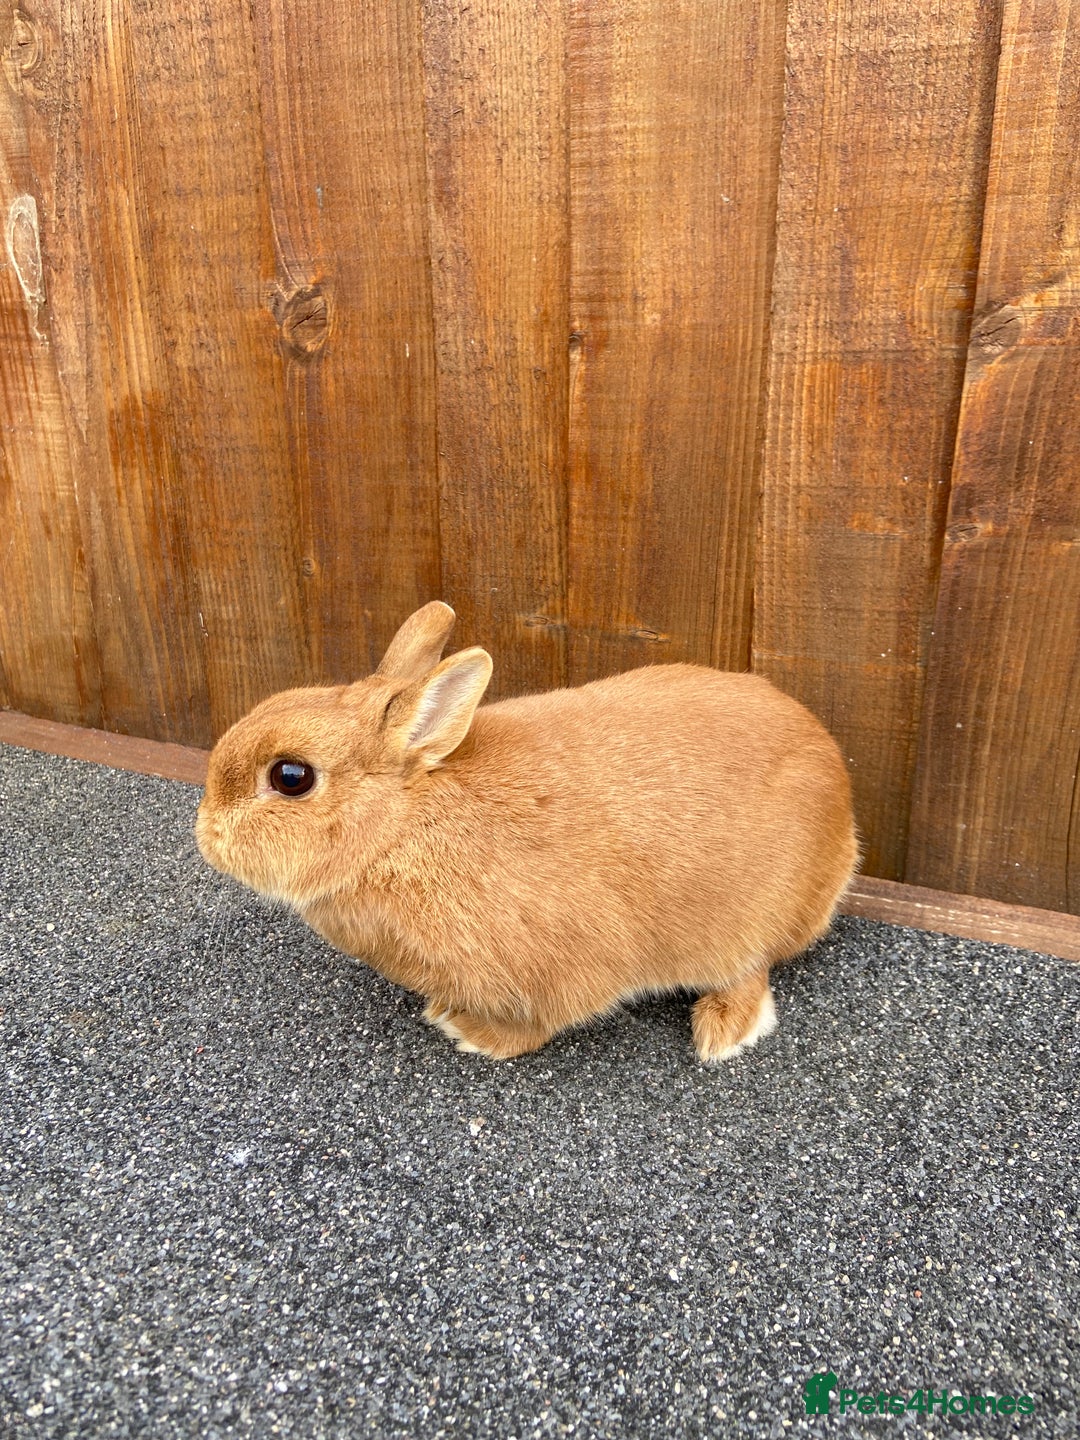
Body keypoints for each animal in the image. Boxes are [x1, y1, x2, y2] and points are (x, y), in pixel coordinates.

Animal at [196, 601, 857, 1063]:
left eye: (291, 777)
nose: (206, 836)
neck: (406, 830)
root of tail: (844, 811)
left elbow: (539, 1023)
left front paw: (468, 1032)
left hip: (746, 921)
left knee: (752, 969)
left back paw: (723, 1032)